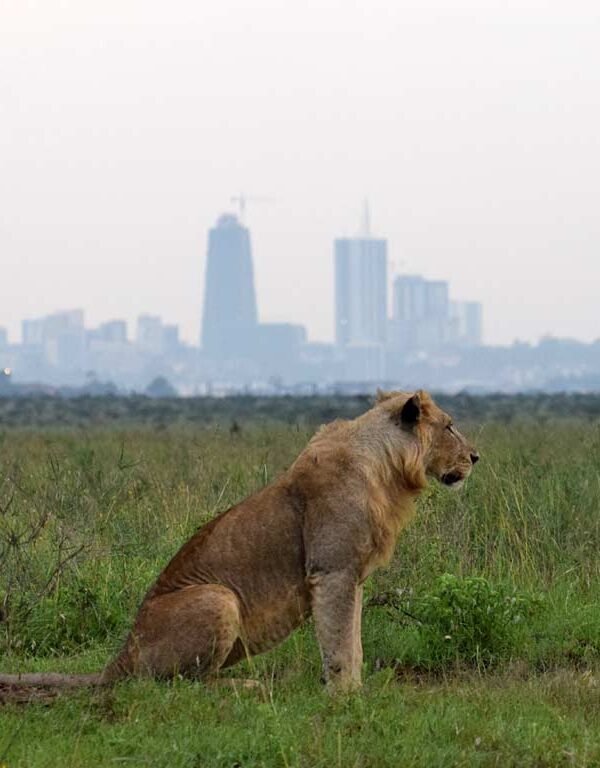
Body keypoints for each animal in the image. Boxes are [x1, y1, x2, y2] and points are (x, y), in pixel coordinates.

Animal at [0, 392, 478, 692]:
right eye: (450, 427)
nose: (475, 456)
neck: (387, 468)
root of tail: (119, 658)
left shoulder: (352, 576)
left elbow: (354, 641)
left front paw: (355, 690)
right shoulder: (333, 569)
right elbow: (341, 642)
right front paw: (344, 697)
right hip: (218, 597)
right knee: (181, 686)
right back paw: (245, 684)